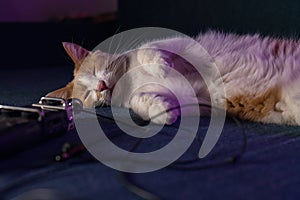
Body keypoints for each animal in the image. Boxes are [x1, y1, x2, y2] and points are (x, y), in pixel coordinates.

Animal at [46, 31, 300, 125]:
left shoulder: (183, 45)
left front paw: (159, 66)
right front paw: (160, 109)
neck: (129, 81)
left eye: (94, 71)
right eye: (89, 94)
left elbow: (146, 49)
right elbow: (139, 101)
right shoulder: (198, 98)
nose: (99, 85)